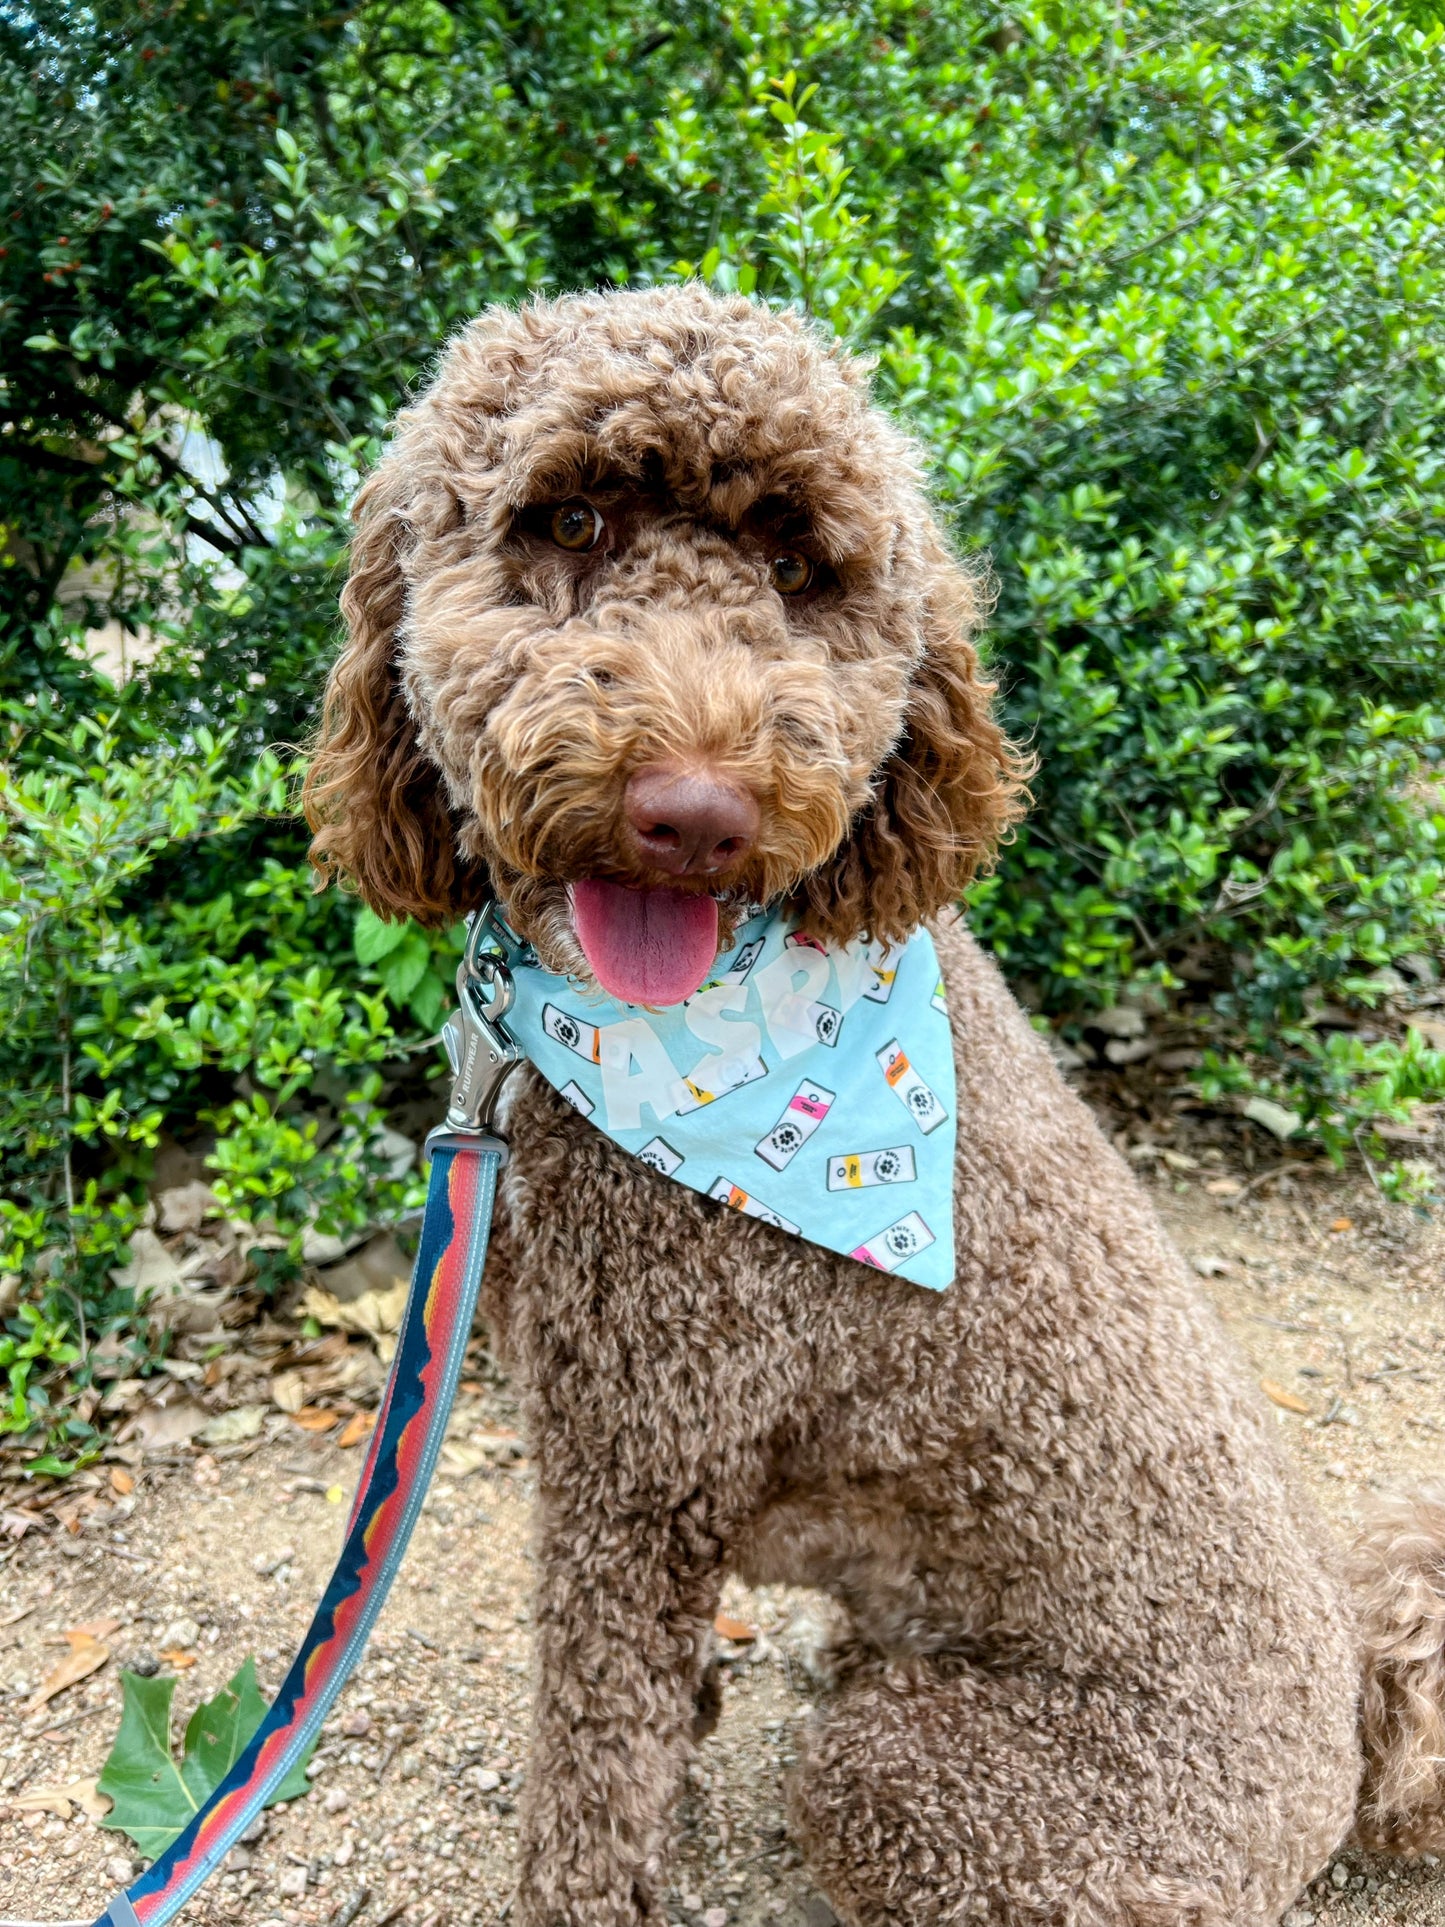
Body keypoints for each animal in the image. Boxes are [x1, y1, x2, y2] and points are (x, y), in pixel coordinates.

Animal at [312, 285, 1445, 1927]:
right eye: (569, 519)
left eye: (800, 570)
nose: (696, 812)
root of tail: (1353, 1733)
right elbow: (648, 1706)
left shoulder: (637, 1460)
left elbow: (593, 1754)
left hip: (919, 1787)